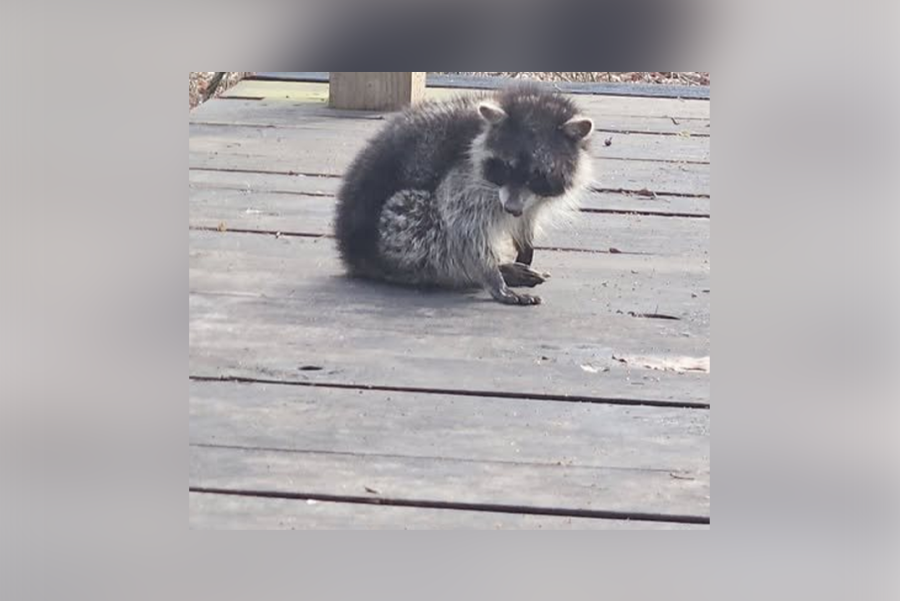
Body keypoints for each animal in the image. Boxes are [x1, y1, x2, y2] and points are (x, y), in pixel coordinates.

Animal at [334, 83, 594, 306]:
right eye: (505, 167)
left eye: (537, 175)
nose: (511, 208)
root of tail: (353, 253)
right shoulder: (463, 176)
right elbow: (464, 229)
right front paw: (493, 277)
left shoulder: (532, 198)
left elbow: (527, 217)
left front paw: (525, 240)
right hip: (397, 229)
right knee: (429, 226)